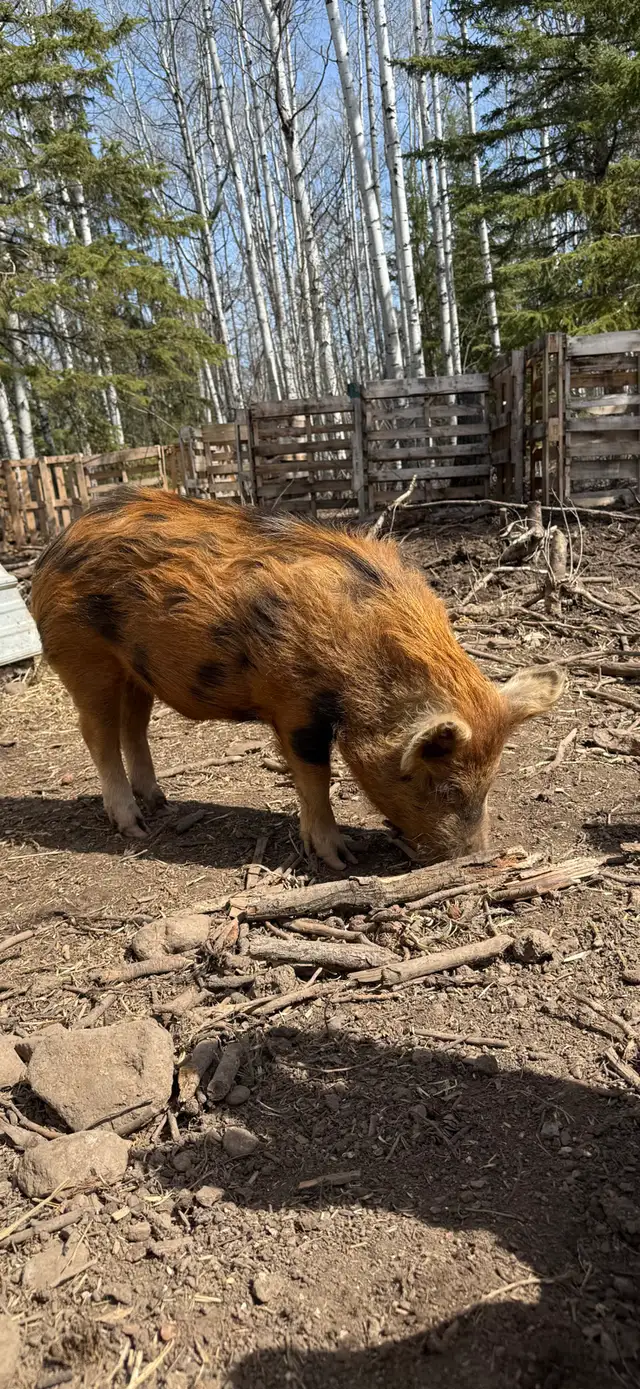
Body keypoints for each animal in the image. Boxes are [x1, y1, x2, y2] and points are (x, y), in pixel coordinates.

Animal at [31, 486, 565, 869]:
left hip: (134, 669)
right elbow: (315, 776)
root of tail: (56, 544)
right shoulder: (294, 705)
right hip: (84, 656)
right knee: (97, 732)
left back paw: (160, 804)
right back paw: (135, 827)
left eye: (491, 781)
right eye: (449, 787)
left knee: (134, 728)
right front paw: (341, 858)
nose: (476, 858)